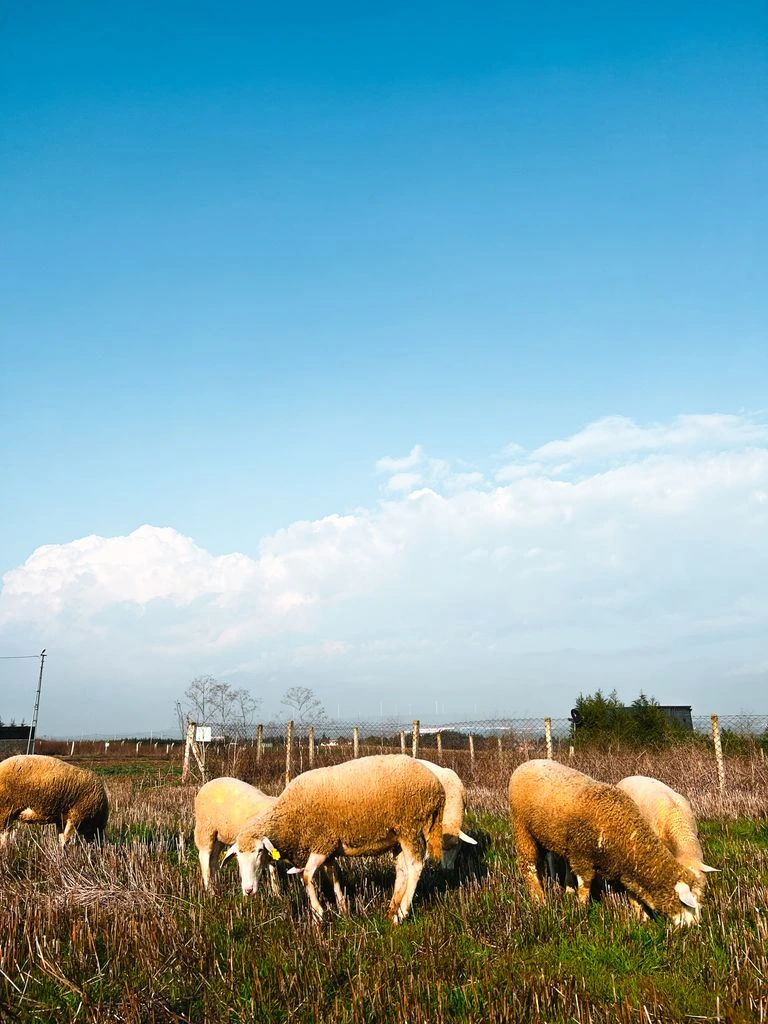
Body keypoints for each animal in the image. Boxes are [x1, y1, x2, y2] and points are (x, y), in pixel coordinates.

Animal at [223, 754, 445, 924]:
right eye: (237, 857)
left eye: (260, 852)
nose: (248, 890)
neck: (290, 818)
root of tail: (437, 785)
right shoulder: (328, 850)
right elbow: (334, 876)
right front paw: (344, 910)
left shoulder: (322, 843)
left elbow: (307, 876)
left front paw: (318, 914)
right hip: (397, 836)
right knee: (402, 871)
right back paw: (391, 910)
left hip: (410, 828)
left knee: (415, 866)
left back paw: (400, 915)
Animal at [508, 759, 703, 926]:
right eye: (686, 904)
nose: (696, 926)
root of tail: (528, 763)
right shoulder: (582, 856)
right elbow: (585, 886)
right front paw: (581, 911)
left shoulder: (625, 869)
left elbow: (633, 893)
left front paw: (642, 918)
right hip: (521, 827)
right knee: (528, 866)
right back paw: (539, 900)